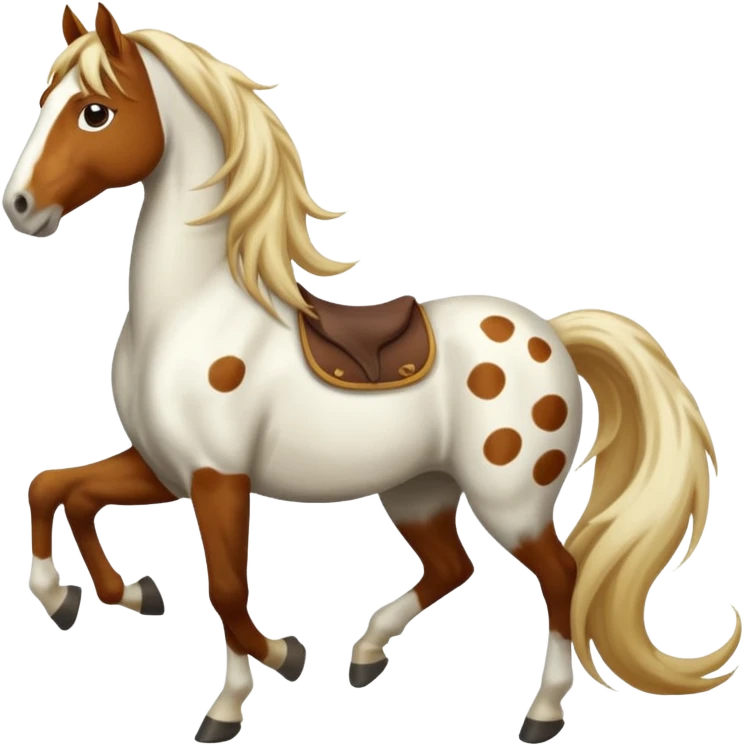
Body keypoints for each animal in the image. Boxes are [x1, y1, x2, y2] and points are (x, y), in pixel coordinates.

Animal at [7, 5, 740, 744]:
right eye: (44, 100)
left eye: (94, 111)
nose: (20, 206)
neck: (189, 311)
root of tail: (552, 334)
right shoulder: (165, 466)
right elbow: (57, 489)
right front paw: (97, 594)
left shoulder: (219, 478)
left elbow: (226, 589)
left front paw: (248, 685)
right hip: (418, 490)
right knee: (453, 565)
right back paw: (365, 653)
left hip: (510, 497)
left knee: (561, 575)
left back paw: (543, 710)